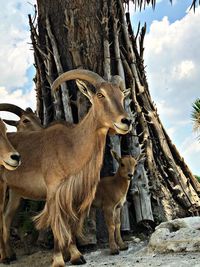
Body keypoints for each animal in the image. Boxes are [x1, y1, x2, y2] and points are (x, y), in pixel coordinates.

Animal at [0, 70, 132, 266]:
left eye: (122, 96)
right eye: (100, 95)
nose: (126, 121)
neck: (71, 145)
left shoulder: (72, 193)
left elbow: (70, 223)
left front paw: (75, 255)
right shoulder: (54, 191)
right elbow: (57, 224)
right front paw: (58, 259)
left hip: (15, 192)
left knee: (6, 217)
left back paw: (10, 254)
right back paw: (4, 256)